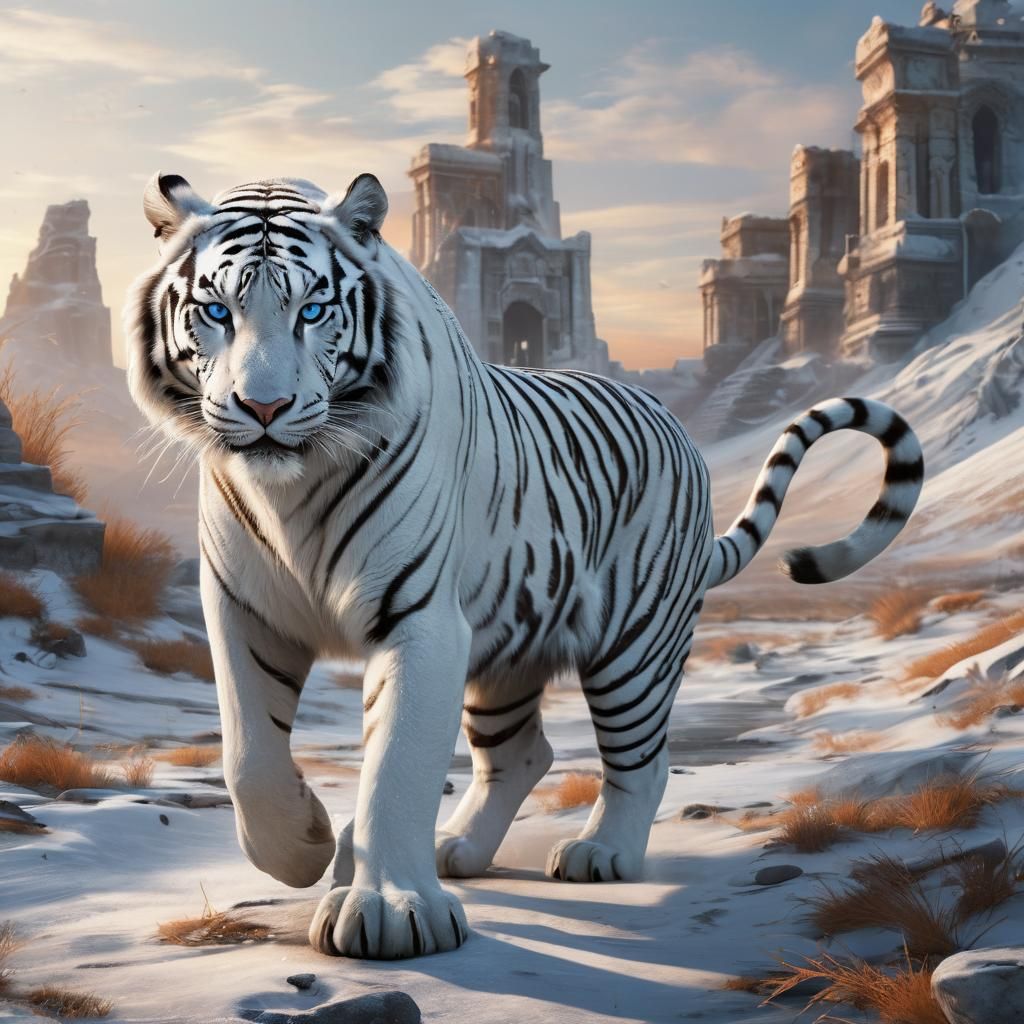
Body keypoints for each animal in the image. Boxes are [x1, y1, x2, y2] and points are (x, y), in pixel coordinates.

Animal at [125, 172, 924, 960]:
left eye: (314, 311)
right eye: (216, 312)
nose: (264, 407)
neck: (290, 490)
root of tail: (678, 429)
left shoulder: (420, 620)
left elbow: (397, 764)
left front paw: (388, 910)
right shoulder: (244, 610)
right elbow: (248, 755)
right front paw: (305, 845)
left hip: (634, 646)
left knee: (642, 759)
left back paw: (601, 853)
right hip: (505, 648)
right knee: (523, 754)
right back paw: (456, 847)